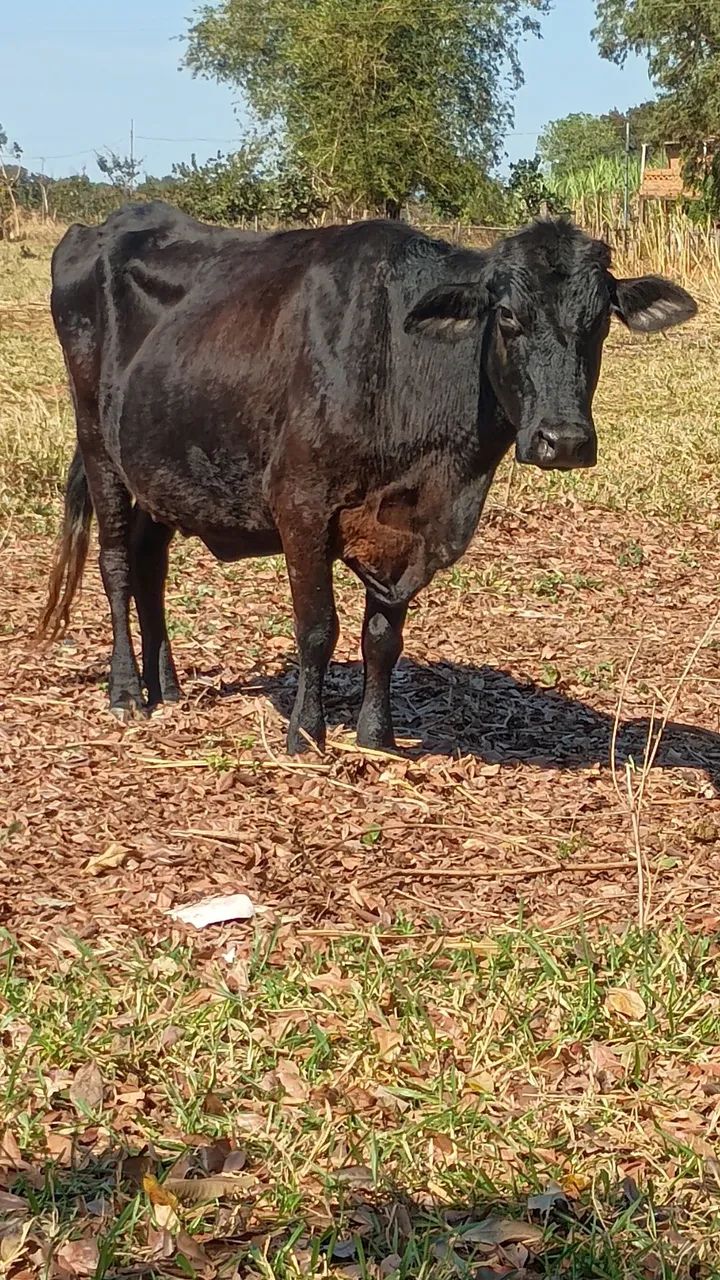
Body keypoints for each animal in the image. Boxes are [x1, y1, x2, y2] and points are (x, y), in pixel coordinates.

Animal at [40, 201, 697, 753]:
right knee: (117, 565)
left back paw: (168, 688)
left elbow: (383, 637)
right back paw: (127, 692)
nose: (564, 441)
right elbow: (317, 628)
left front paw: (375, 737)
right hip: (98, 444)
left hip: (158, 471)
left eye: (599, 321)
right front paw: (305, 735)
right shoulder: (300, 504)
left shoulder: (405, 533)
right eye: (508, 316)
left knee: (150, 566)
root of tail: (104, 224)